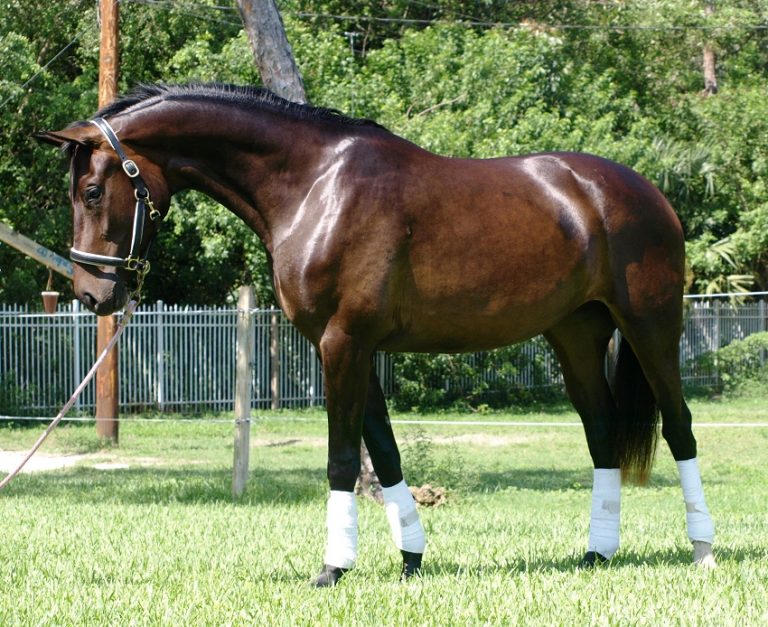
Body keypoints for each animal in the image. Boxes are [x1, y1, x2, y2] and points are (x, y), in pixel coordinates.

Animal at [37, 83, 716, 585]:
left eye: (92, 191)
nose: (92, 294)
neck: (314, 185)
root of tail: (645, 192)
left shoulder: (344, 343)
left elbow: (342, 458)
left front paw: (332, 568)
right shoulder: (352, 349)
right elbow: (384, 452)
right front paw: (411, 557)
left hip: (652, 326)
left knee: (680, 427)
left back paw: (703, 549)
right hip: (573, 334)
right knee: (601, 436)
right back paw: (598, 552)